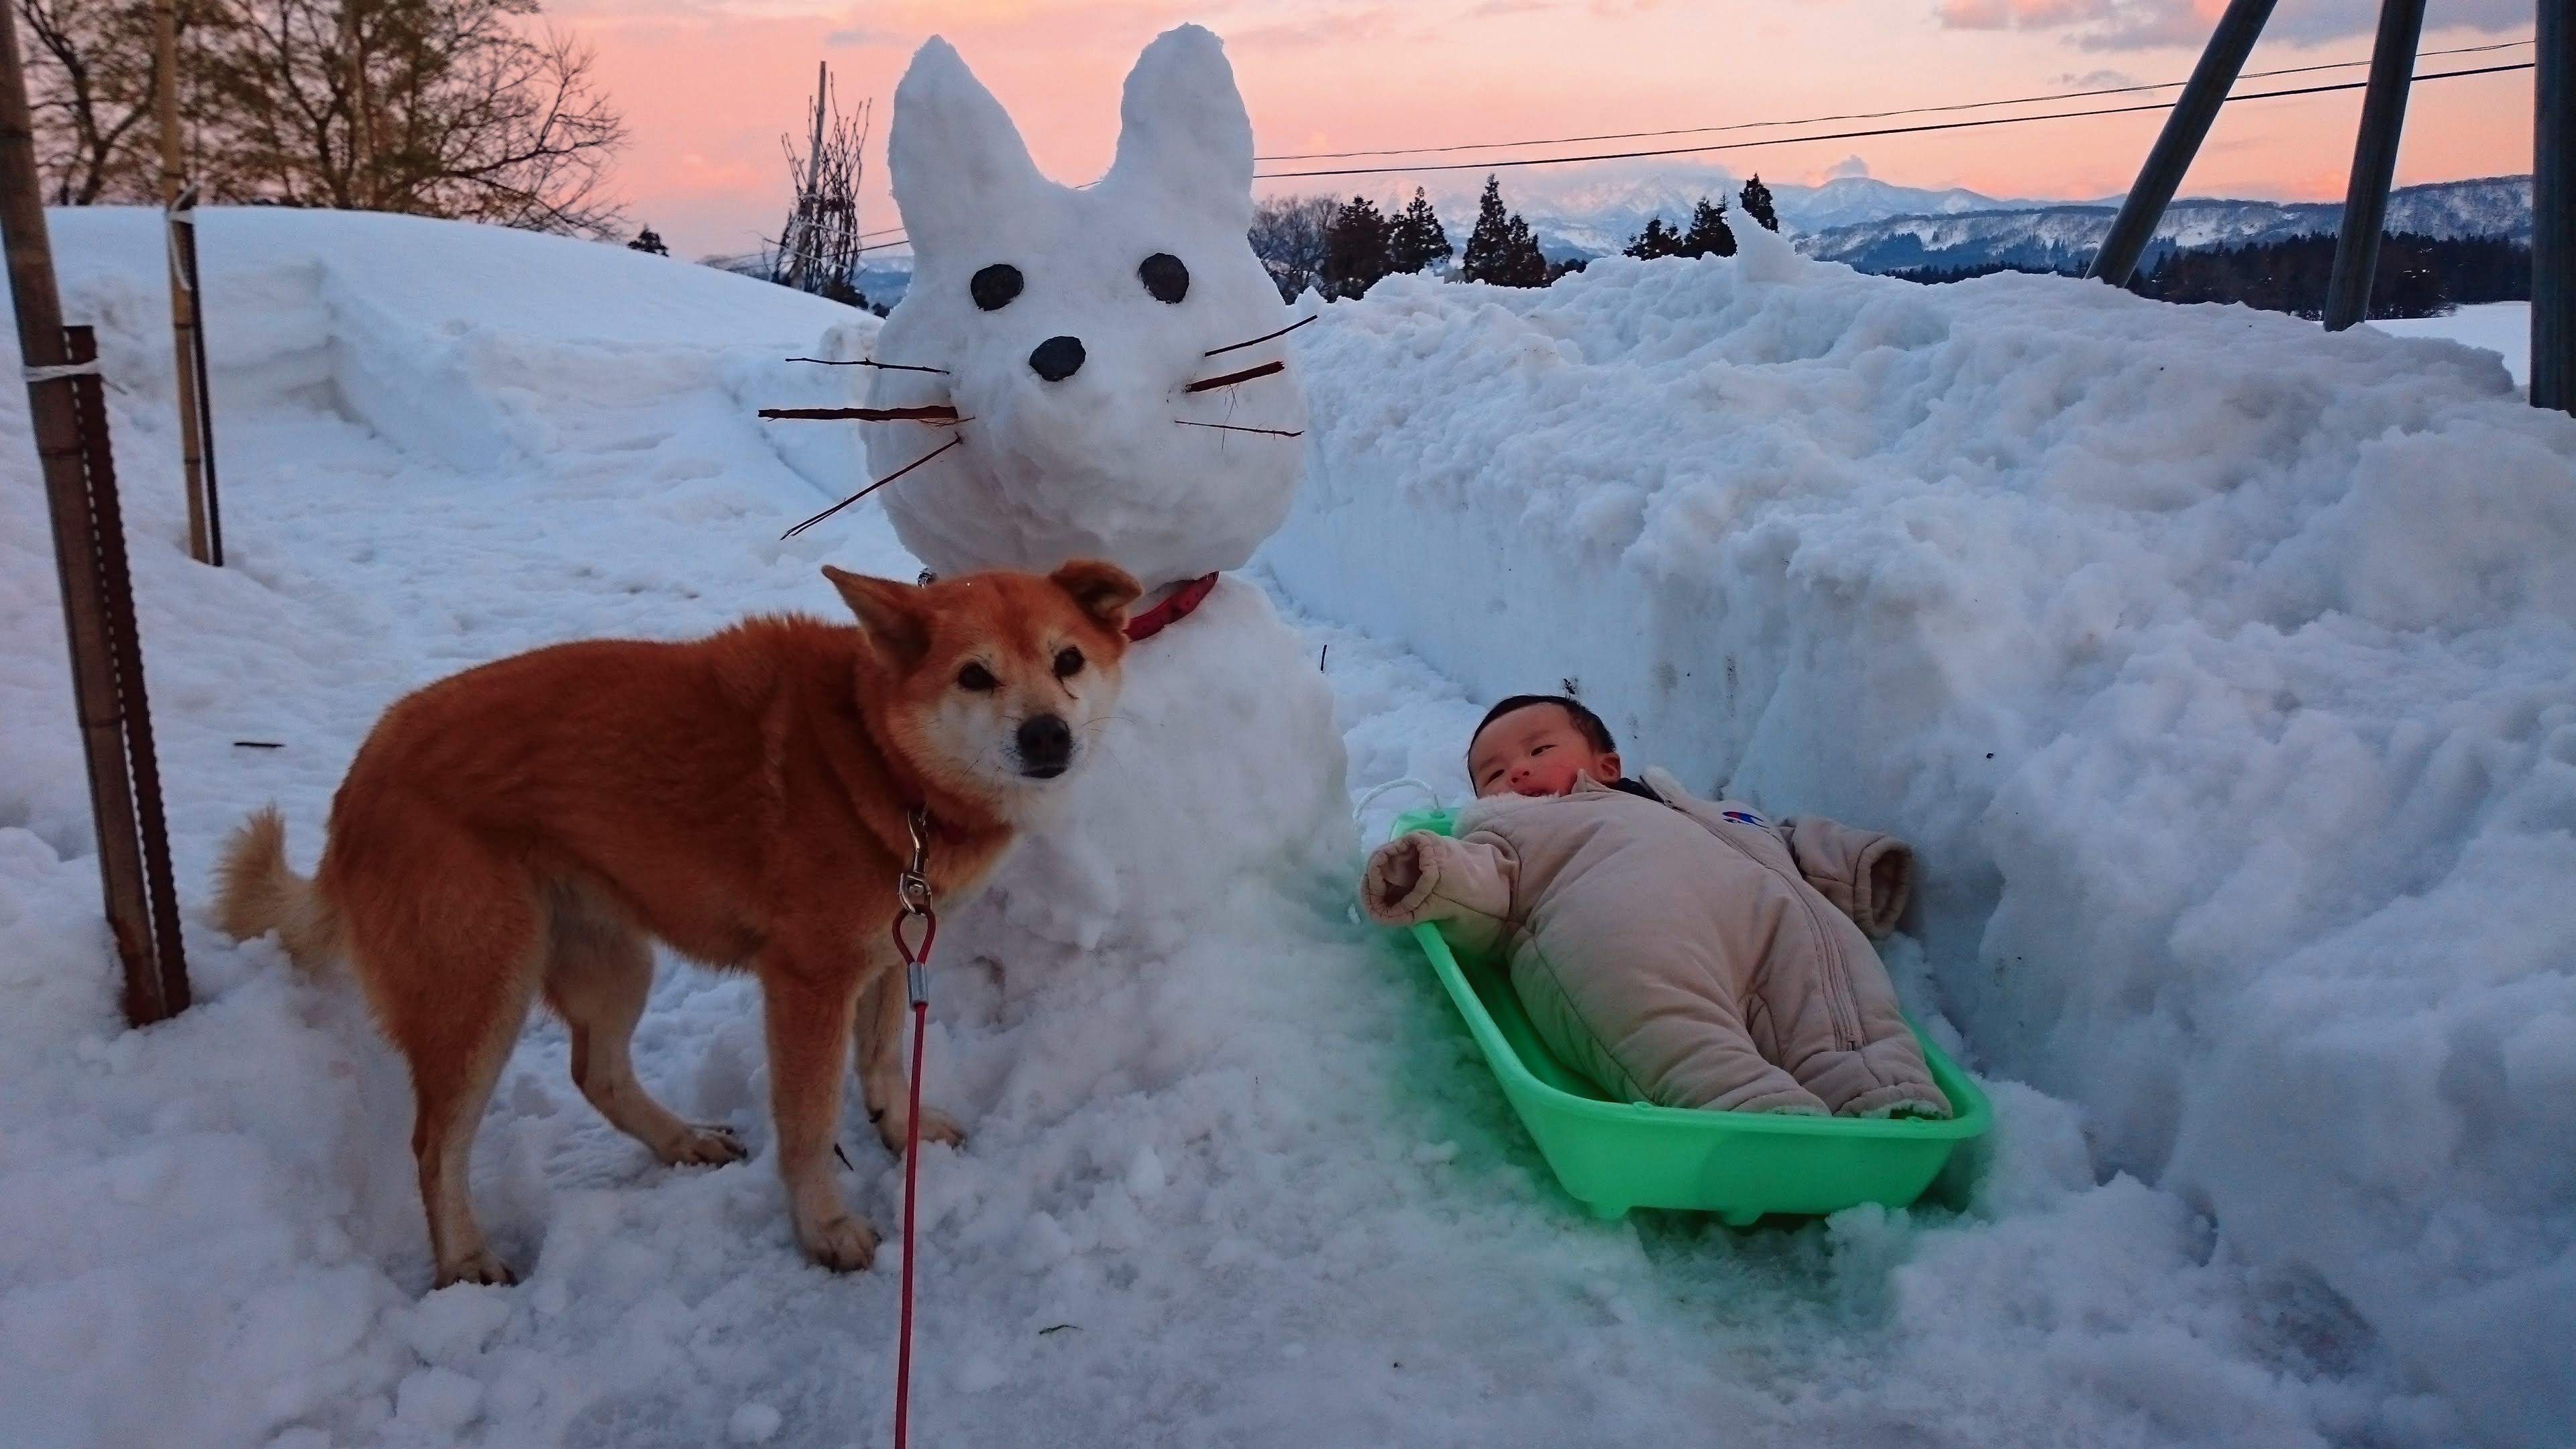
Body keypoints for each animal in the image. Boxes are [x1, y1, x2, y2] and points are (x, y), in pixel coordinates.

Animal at [216, 559, 1143, 1279]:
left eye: (1067, 660)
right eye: (975, 676)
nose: (1047, 736)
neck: (876, 757)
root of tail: (355, 788)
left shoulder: (893, 952)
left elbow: (882, 1060)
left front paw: (900, 1132)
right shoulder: (807, 985)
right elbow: (808, 1125)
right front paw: (825, 1229)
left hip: (612, 961)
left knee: (597, 1073)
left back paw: (679, 1143)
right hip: (481, 990)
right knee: (435, 1144)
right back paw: (464, 1261)